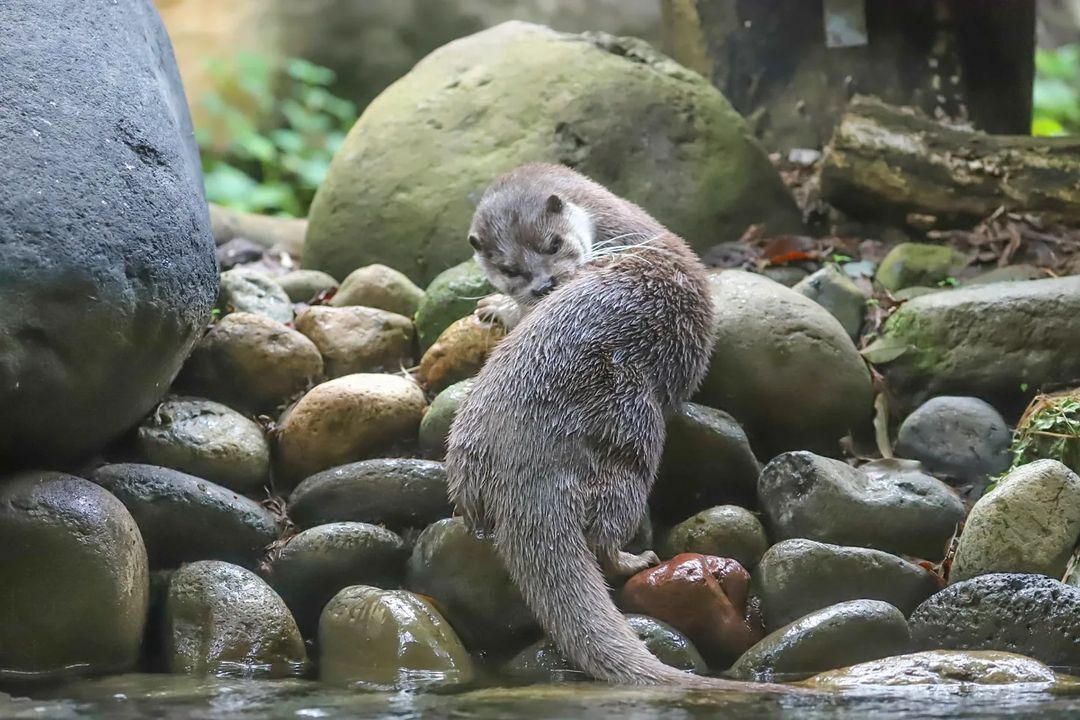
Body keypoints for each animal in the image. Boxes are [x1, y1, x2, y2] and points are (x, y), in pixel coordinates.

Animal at [447, 165, 794, 690]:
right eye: (510, 268)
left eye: (553, 243)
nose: (545, 285)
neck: (617, 229)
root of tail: (525, 456)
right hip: (628, 438)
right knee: (605, 532)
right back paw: (638, 559)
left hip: (469, 439)